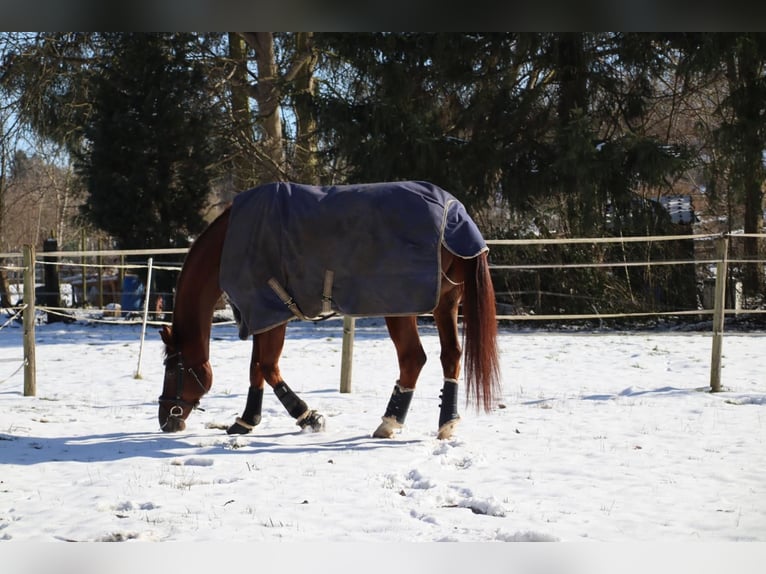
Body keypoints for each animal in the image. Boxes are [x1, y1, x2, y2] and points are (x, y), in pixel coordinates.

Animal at [157, 181, 501, 440]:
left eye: (172, 368)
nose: (165, 419)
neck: (232, 241)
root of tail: (455, 213)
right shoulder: (263, 315)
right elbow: (257, 367)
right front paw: (246, 420)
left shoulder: (271, 312)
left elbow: (267, 367)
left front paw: (308, 416)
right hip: (445, 304)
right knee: (451, 356)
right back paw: (446, 423)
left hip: (401, 309)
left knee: (413, 359)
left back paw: (389, 422)